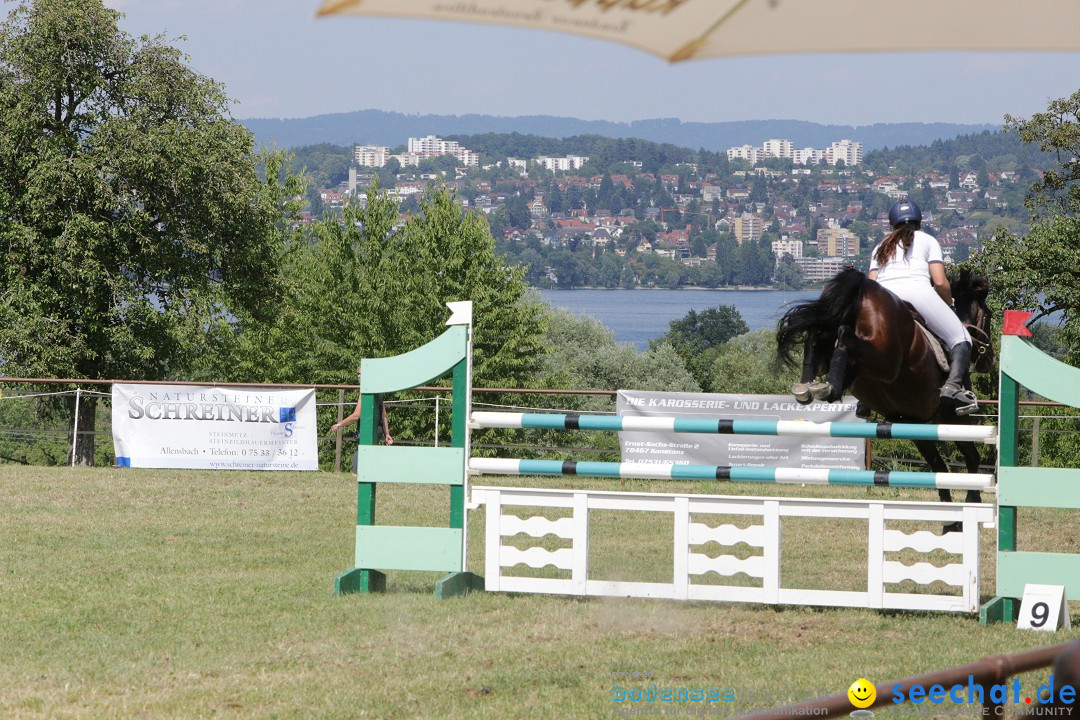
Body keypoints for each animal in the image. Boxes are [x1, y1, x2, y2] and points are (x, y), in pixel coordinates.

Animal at [777, 267, 993, 509]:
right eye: (989, 316)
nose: (989, 360)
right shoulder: (951, 417)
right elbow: (971, 457)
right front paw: (972, 499)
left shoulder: (916, 423)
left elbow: (939, 468)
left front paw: (949, 511)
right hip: (887, 362)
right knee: (844, 335)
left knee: (817, 334)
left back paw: (810, 387)